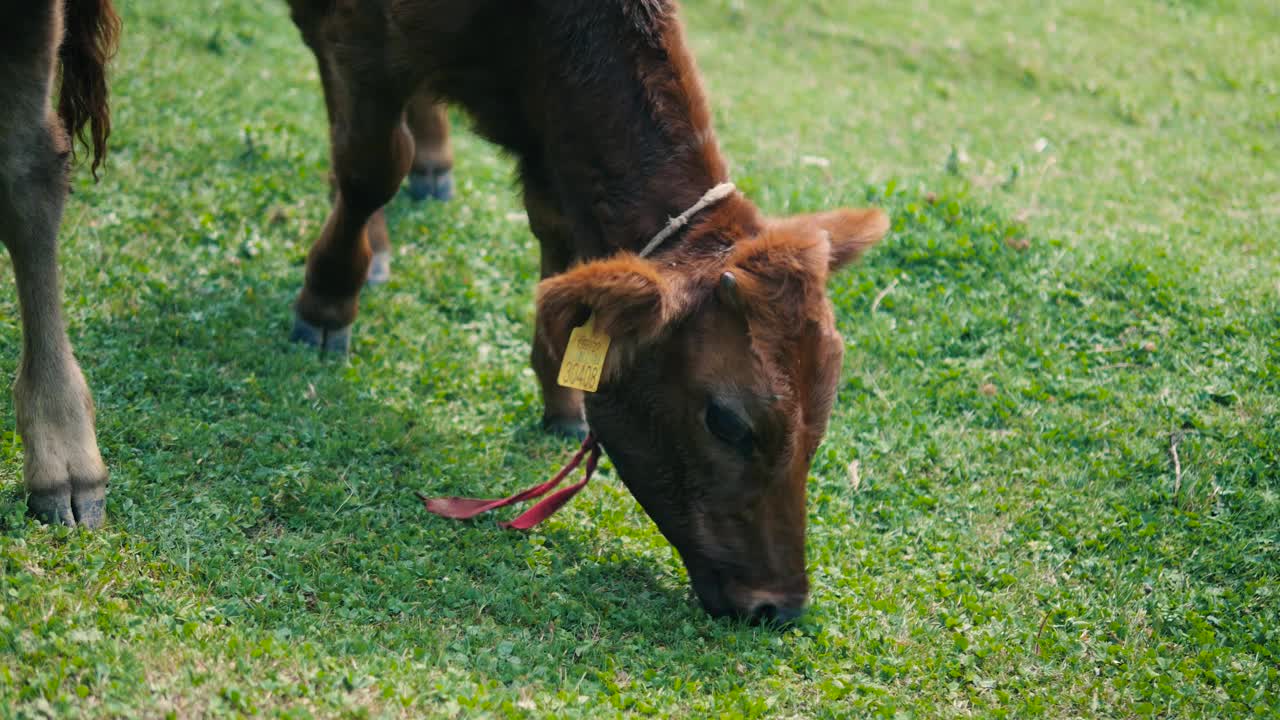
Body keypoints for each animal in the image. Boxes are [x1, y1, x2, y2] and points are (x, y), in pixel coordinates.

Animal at [288, 0, 890, 617]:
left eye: (823, 416)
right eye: (727, 421)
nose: (781, 605)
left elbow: (556, 238)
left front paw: (560, 396)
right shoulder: (360, 36)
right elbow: (369, 167)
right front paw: (327, 303)